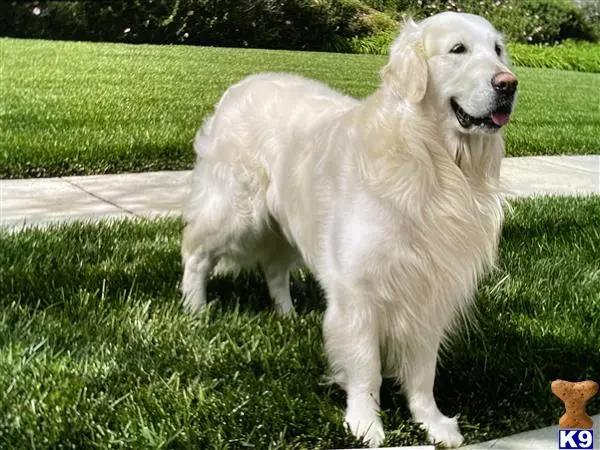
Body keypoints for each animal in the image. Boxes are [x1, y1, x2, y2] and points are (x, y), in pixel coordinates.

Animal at [180, 12, 516, 448]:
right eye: (457, 49)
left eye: (497, 49)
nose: (509, 84)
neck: (432, 161)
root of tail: (240, 86)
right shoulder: (360, 292)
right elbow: (366, 368)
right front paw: (366, 425)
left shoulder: (429, 292)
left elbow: (423, 372)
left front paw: (432, 423)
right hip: (236, 212)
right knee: (195, 252)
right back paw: (194, 308)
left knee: (274, 269)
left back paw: (288, 314)